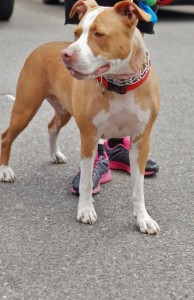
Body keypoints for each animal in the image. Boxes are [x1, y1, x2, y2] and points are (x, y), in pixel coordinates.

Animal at [0, 0, 160, 234]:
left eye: (99, 34)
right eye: (76, 33)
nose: (65, 55)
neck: (121, 84)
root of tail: (42, 47)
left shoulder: (141, 140)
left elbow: (138, 187)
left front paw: (143, 219)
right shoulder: (89, 136)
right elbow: (85, 180)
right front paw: (85, 210)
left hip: (63, 111)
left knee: (51, 127)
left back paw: (55, 154)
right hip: (25, 108)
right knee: (6, 137)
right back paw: (5, 170)